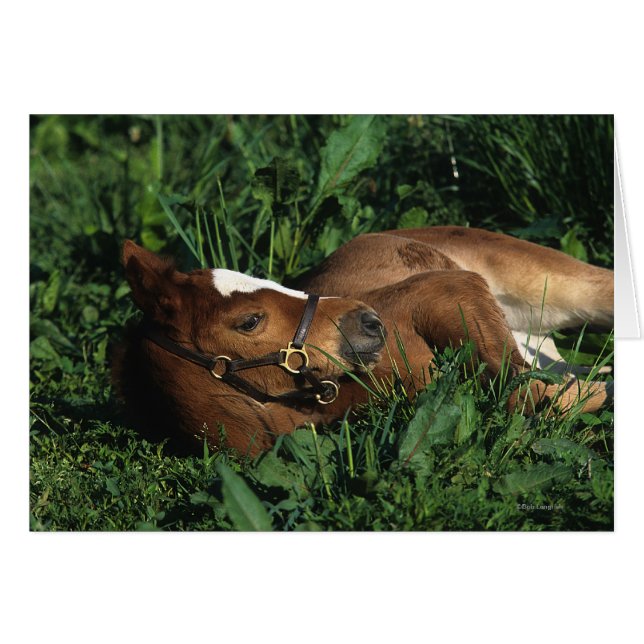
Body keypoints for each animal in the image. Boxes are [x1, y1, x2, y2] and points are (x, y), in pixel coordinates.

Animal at [112, 226, 614, 456]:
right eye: (250, 321)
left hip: (558, 285)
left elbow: (523, 393)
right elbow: (538, 397)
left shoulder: (450, 289)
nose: (369, 320)